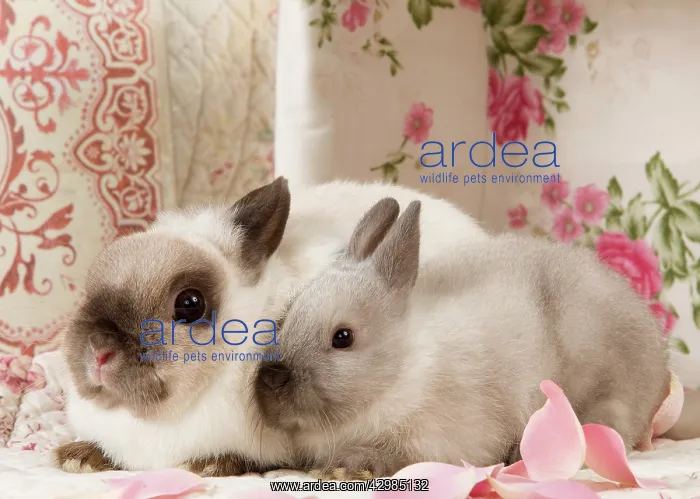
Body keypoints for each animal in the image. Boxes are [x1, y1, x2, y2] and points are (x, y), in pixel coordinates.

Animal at [252, 197, 671, 478]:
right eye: (286, 317)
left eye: (343, 337)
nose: (271, 380)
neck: (403, 368)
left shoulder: (440, 440)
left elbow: (396, 454)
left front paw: (346, 467)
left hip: (602, 389)